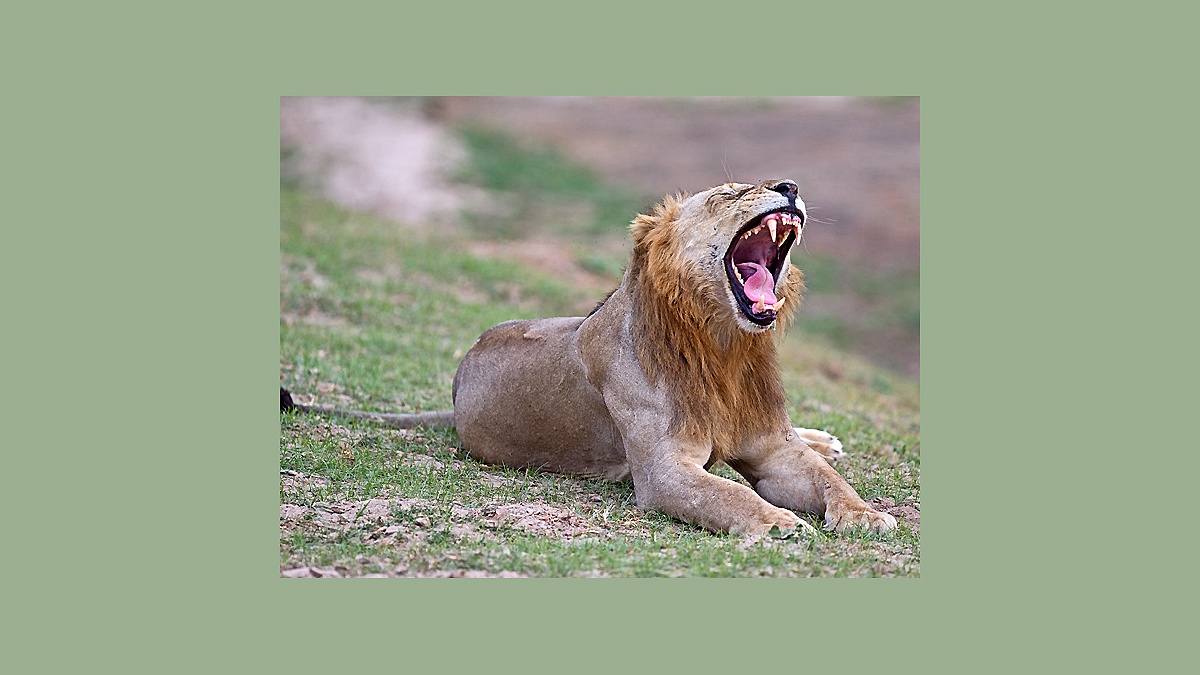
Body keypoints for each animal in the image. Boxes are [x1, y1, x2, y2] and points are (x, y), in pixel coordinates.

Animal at [282, 179, 897, 537]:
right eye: (728, 192)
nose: (789, 185)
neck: (721, 345)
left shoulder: (772, 447)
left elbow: (826, 480)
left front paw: (867, 515)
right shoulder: (664, 473)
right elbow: (729, 493)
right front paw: (779, 523)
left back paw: (826, 439)